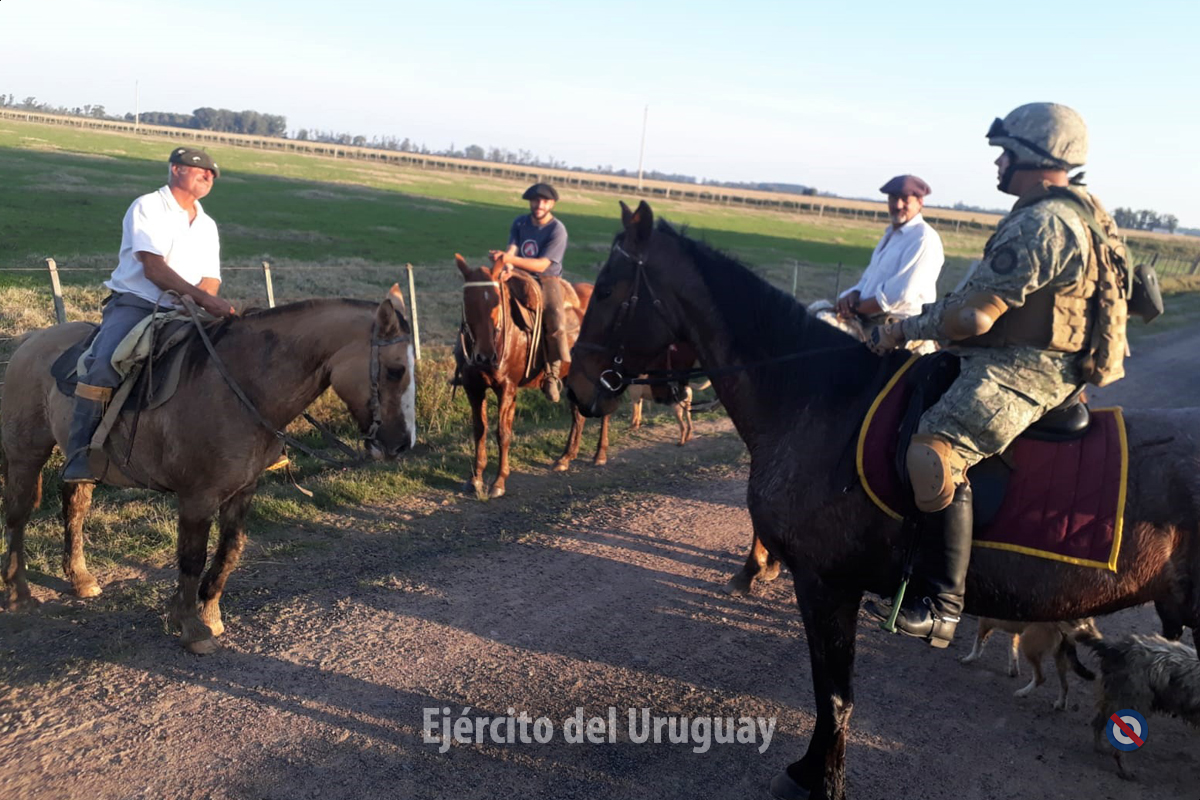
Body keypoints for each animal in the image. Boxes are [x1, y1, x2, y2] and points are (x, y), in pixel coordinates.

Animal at [2, 291, 417, 652]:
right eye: (395, 371)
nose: (401, 444)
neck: (241, 387)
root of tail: (30, 340)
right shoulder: (197, 497)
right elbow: (192, 557)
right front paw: (191, 627)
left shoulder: (243, 490)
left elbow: (230, 550)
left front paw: (210, 614)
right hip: (26, 453)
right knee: (18, 515)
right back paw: (19, 594)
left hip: (84, 461)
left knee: (74, 508)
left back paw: (80, 578)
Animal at [456, 255, 614, 501]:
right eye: (468, 301)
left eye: (496, 302)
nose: (485, 356)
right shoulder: (474, 388)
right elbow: (479, 430)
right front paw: (475, 479)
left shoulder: (507, 388)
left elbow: (503, 433)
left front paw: (499, 482)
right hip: (572, 377)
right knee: (577, 415)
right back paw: (565, 458)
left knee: (602, 411)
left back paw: (600, 455)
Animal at [955, 618, 1099, 710]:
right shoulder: (1012, 631)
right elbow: (1012, 651)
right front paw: (1013, 671)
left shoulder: (985, 622)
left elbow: (978, 643)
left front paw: (969, 658)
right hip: (1060, 657)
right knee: (1065, 685)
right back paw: (1060, 704)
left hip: (1028, 644)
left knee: (1041, 677)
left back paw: (1022, 693)